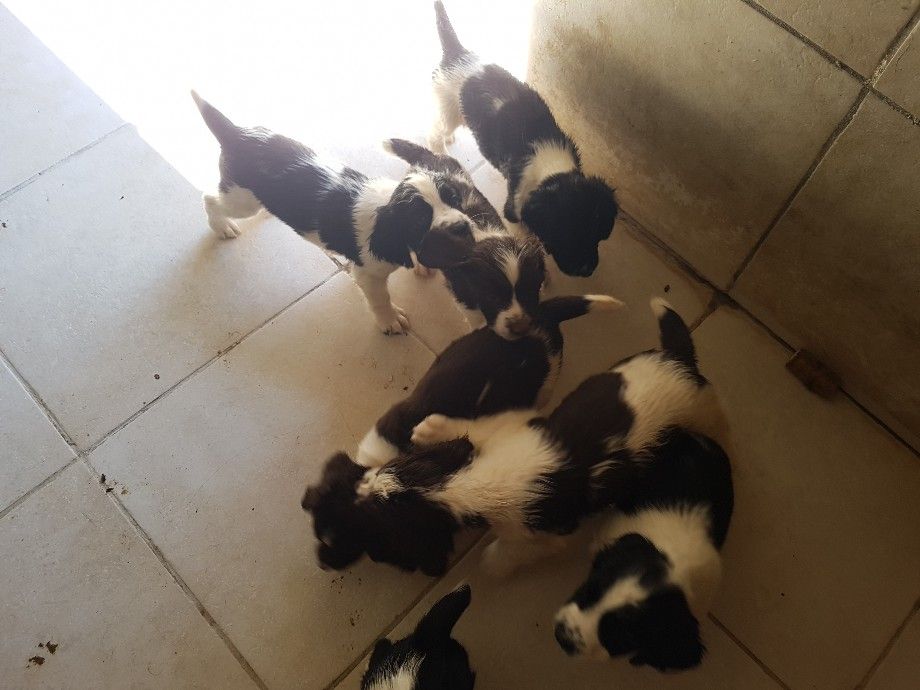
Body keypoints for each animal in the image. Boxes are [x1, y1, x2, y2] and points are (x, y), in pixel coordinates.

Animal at [191, 92, 486, 334]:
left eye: (454, 200)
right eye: (420, 220)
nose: (462, 227)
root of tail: (236, 133)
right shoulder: (368, 275)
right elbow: (381, 300)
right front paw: (390, 321)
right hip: (240, 200)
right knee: (210, 199)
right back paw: (222, 226)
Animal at [430, 3, 620, 276]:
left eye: (597, 233)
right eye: (564, 236)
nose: (587, 270)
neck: (552, 166)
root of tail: (460, 55)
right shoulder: (515, 209)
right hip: (449, 108)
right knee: (436, 131)